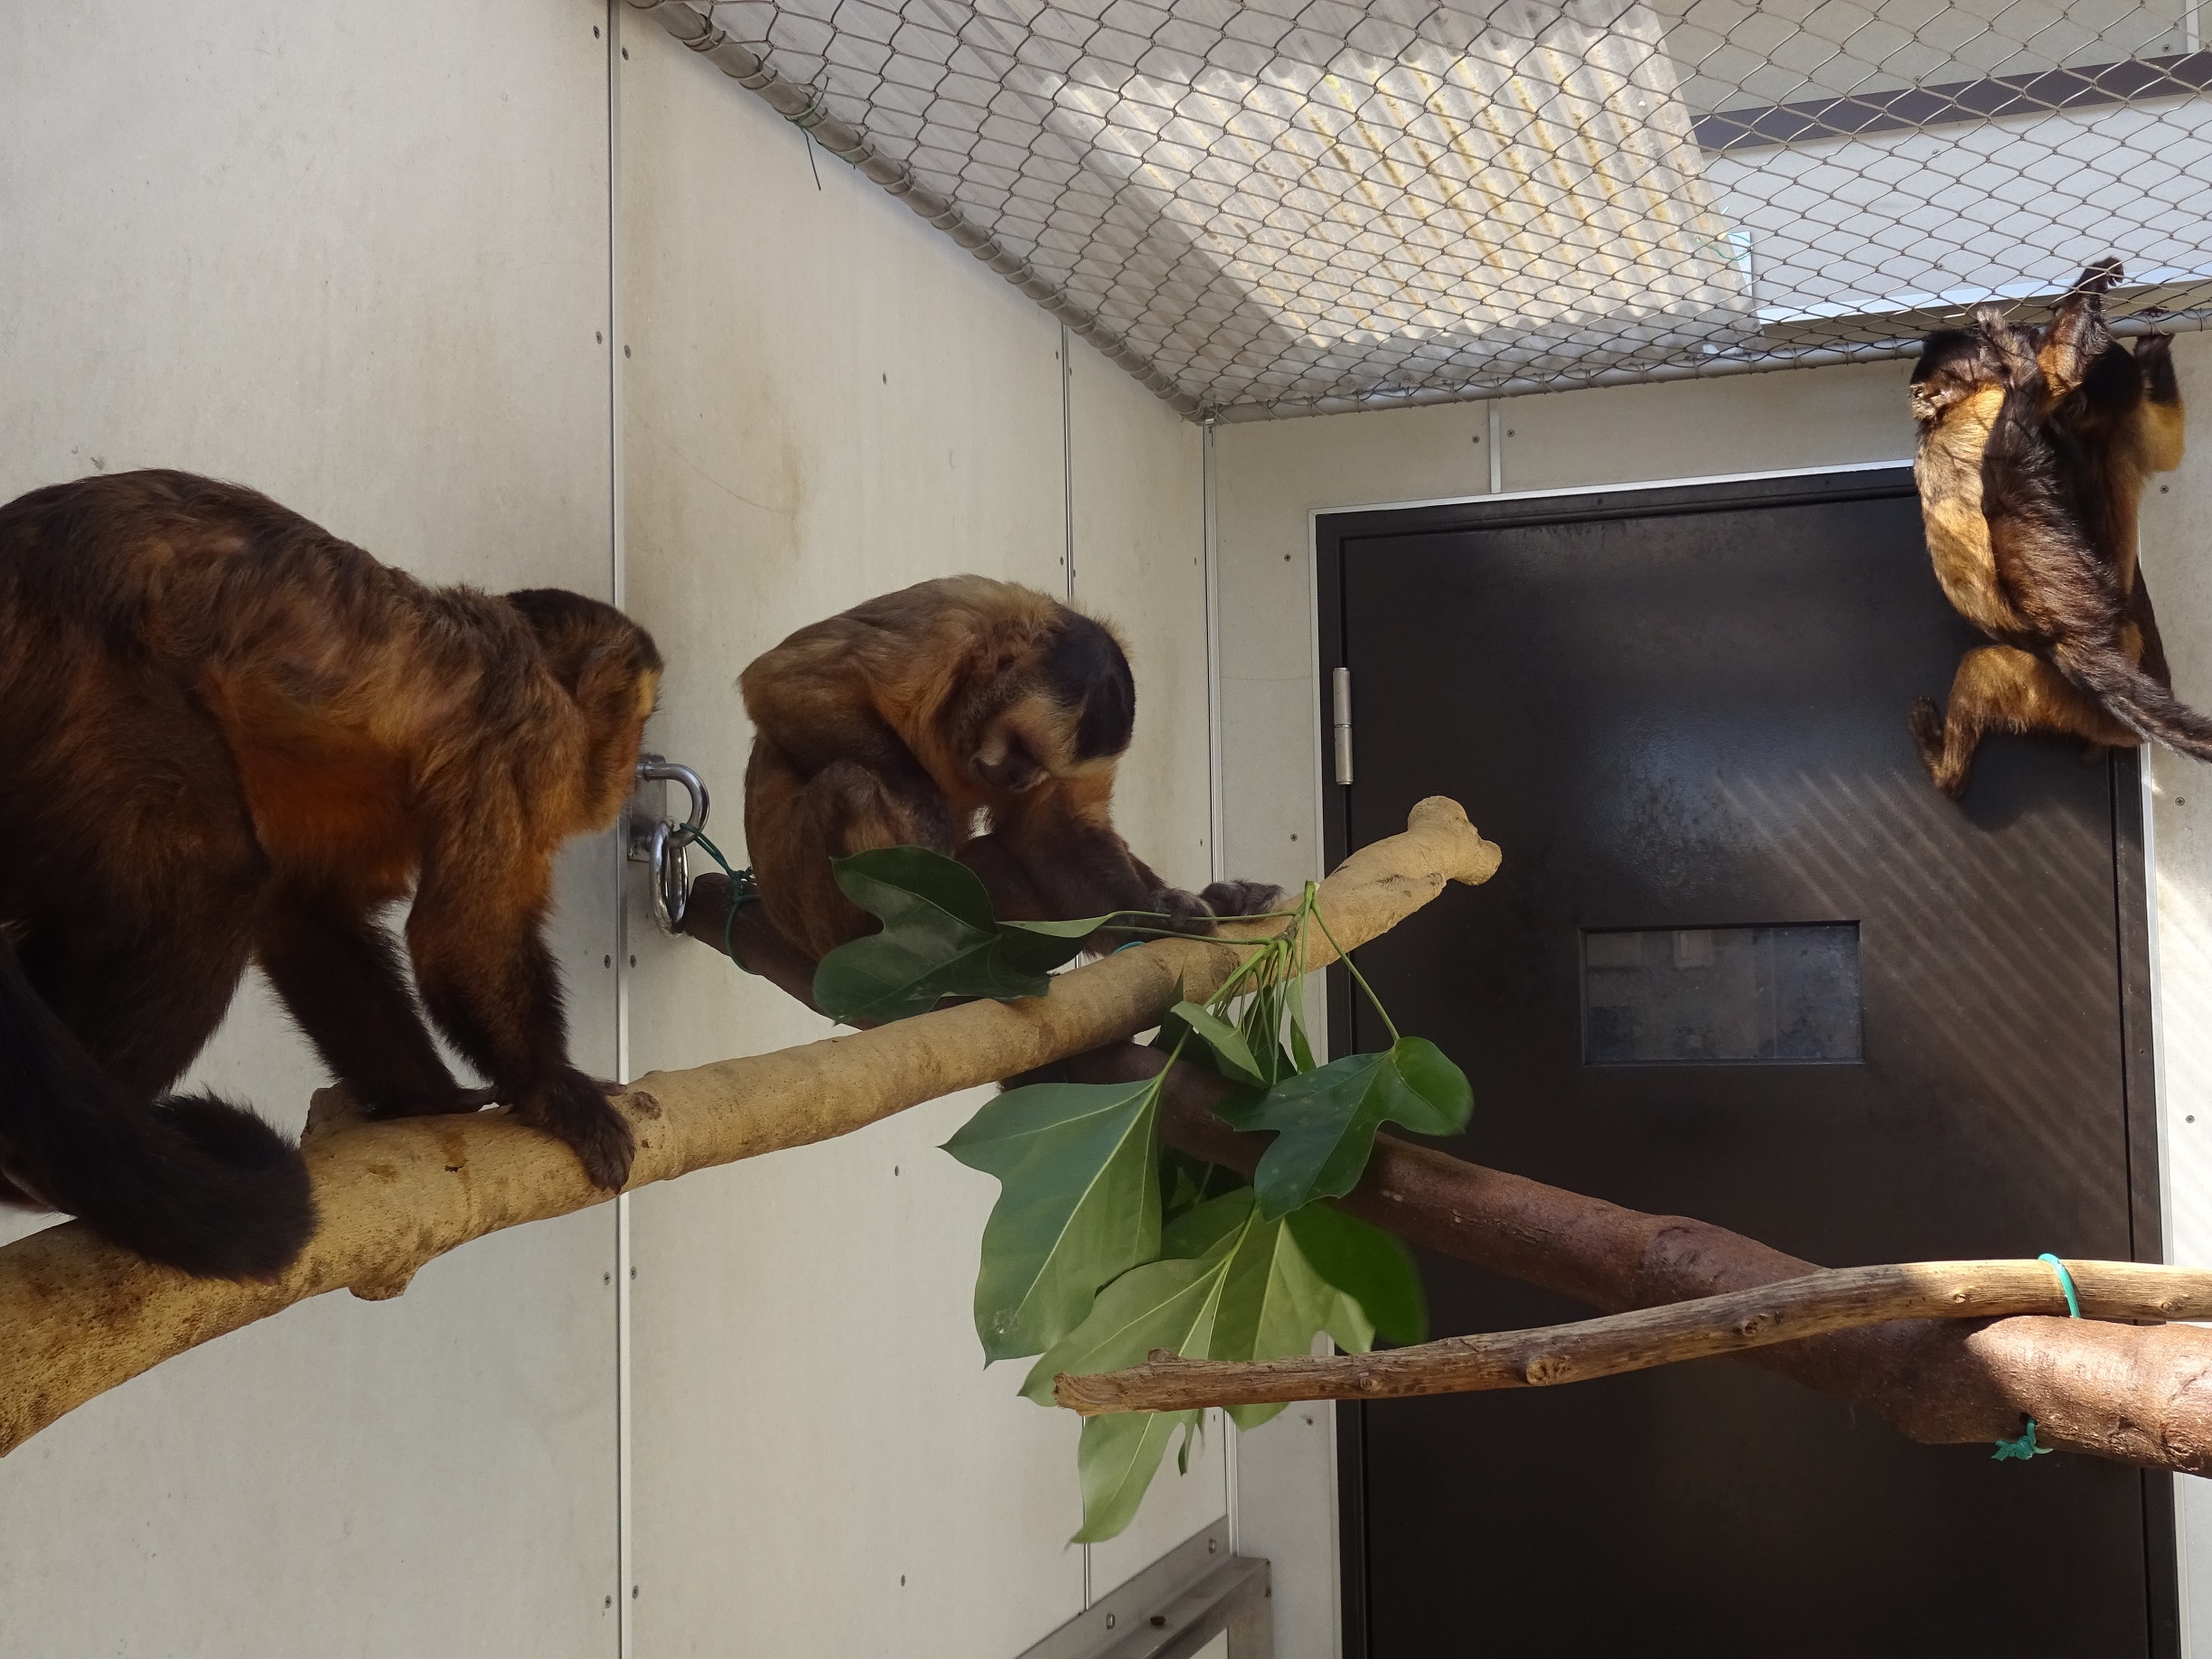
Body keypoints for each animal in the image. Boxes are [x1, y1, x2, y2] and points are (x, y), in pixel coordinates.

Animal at [0, 473, 663, 1282]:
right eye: (635, 721)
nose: (630, 772)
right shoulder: (522, 736)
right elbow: (459, 939)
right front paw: (552, 1088)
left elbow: (304, 920)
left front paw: (426, 1103)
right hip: (69, 688)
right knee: (207, 883)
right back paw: (39, 1170)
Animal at [738, 579, 1282, 960]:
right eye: (1021, 748)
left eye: (1039, 767)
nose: (1019, 778)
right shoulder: (948, 621)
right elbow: (784, 678)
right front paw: (924, 809)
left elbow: (1054, 836)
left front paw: (1156, 917)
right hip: (810, 919)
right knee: (851, 783)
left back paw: (1221, 902)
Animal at [1902, 259, 2194, 801]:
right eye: (1977, 353)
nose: (1994, 348)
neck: (1944, 417)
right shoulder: (1987, 405)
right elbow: (2053, 377)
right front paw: (2089, 284)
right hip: (2050, 684)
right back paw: (1948, 776)